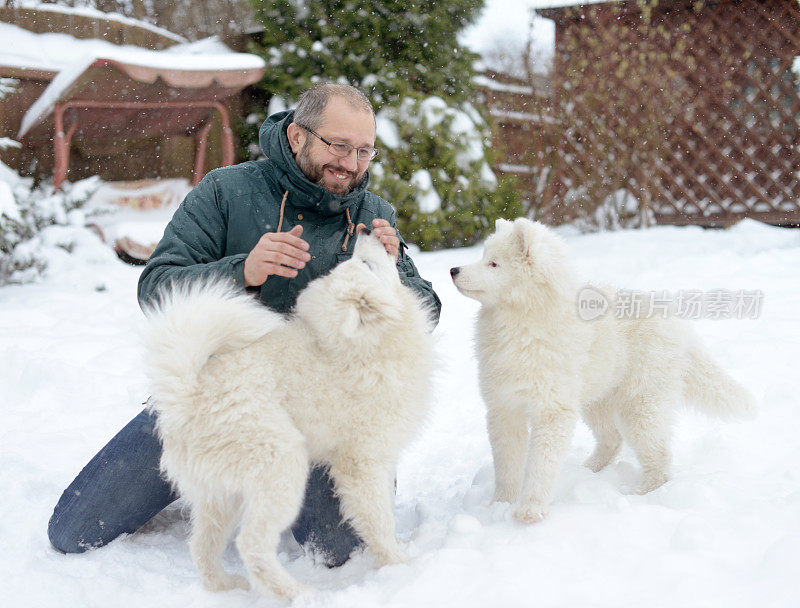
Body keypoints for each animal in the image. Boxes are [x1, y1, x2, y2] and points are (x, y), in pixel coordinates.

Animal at [142, 230, 432, 600]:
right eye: (365, 263)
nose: (367, 230)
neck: (365, 347)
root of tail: (189, 394)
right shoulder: (363, 463)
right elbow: (378, 519)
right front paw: (400, 564)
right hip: (281, 466)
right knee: (251, 545)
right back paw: (299, 592)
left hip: (220, 495)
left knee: (203, 547)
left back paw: (225, 586)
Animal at [450, 218, 756, 524]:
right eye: (483, 256)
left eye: (494, 263)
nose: (453, 270)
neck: (522, 325)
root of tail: (681, 329)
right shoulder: (503, 409)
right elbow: (507, 465)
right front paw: (499, 505)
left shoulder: (553, 411)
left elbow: (540, 464)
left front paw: (530, 510)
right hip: (597, 400)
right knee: (612, 439)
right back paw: (588, 470)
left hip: (640, 407)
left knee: (659, 455)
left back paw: (641, 494)